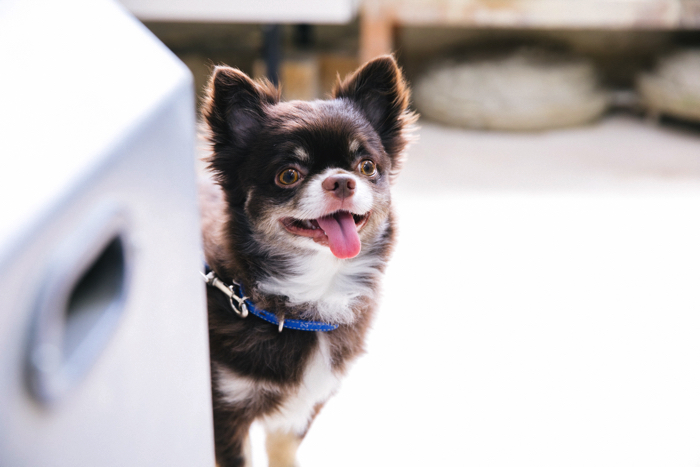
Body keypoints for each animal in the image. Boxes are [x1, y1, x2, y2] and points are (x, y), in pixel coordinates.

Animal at [197, 55, 416, 467]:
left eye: (366, 167)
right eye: (288, 175)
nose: (341, 181)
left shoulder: (301, 408)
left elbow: (283, 453)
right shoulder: (224, 409)